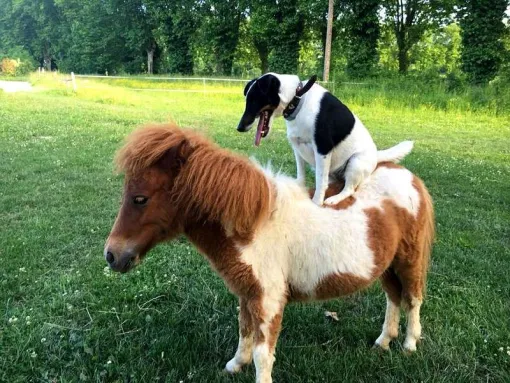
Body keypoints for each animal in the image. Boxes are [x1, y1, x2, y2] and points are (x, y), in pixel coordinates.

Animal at [237, 74, 412, 207]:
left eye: (254, 100)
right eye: (247, 100)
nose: (239, 127)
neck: (298, 99)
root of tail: (376, 155)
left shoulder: (322, 149)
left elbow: (321, 181)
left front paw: (316, 202)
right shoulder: (297, 147)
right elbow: (301, 174)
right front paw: (298, 188)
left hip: (355, 163)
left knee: (348, 189)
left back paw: (334, 199)